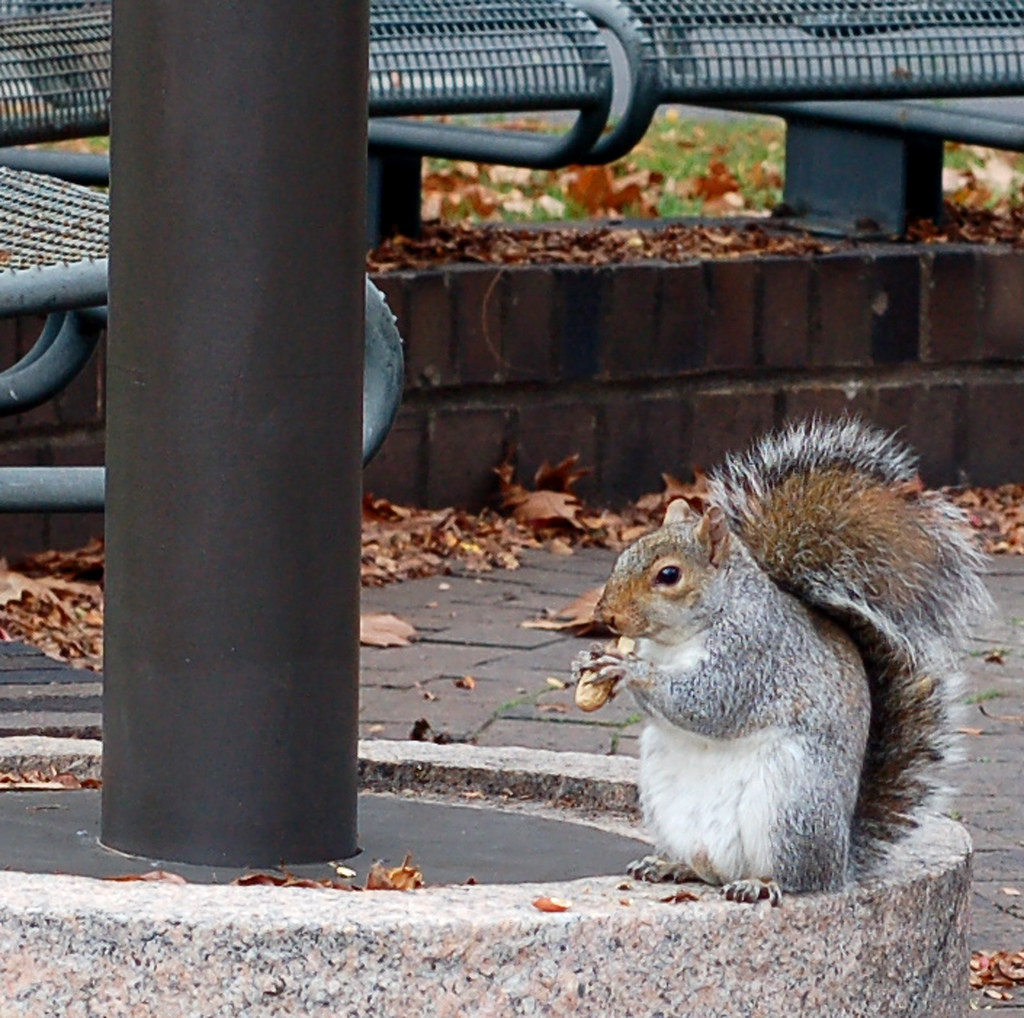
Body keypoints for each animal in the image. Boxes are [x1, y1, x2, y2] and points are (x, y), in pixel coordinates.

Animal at [572, 417, 992, 905]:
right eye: (623, 556)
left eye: (669, 575)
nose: (605, 616)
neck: (678, 640)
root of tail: (839, 864)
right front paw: (589, 660)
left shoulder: (756, 653)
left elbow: (710, 702)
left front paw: (628, 670)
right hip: (665, 798)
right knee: (703, 869)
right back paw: (671, 864)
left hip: (791, 804)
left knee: (795, 879)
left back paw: (760, 883)